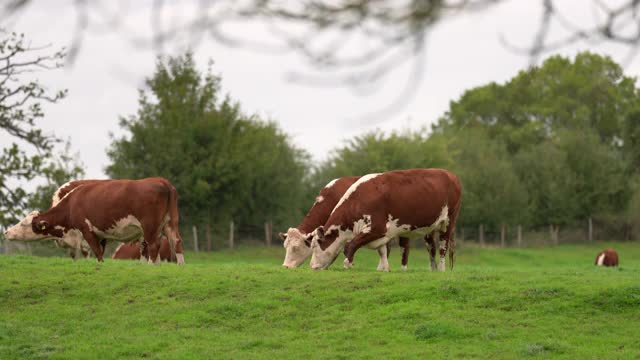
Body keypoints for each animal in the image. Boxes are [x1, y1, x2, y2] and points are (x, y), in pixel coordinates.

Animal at [4, 177, 185, 264]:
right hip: (170, 223)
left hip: (149, 226)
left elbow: (96, 253)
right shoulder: (100, 234)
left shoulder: (86, 231)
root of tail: (161, 181)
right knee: (176, 241)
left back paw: (150, 266)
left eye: (25, 224)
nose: (6, 232)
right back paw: (178, 266)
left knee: (153, 246)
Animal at [308, 167, 460, 272]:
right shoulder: (380, 233)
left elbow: (351, 245)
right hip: (430, 229)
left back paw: (441, 269)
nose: (312, 266)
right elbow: (382, 251)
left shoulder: (377, 227)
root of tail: (450, 174)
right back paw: (433, 269)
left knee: (443, 247)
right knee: (431, 248)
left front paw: (347, 264)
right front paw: (385, 268)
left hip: (448, 222)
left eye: (314, 246)